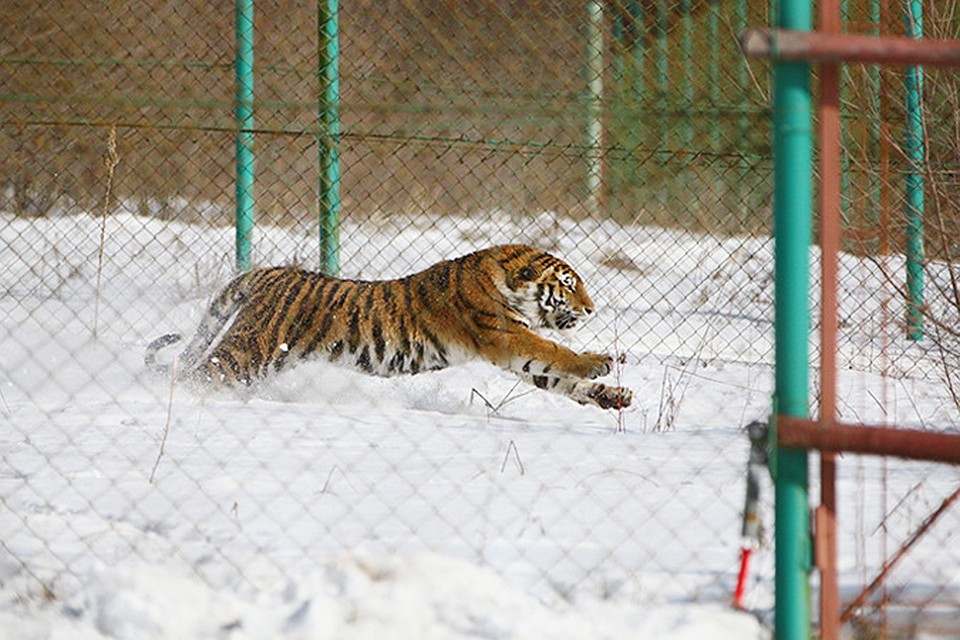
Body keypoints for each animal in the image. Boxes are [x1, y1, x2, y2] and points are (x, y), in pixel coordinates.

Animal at [144, 245, 632, 410]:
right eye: (568, 285)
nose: (591, 309)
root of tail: (268, 272)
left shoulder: (516, 353)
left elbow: (557, 378)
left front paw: (613, 396)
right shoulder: (505, 336)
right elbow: (555, 352)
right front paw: (600, 361)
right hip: (247, 352)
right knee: (195, 375)